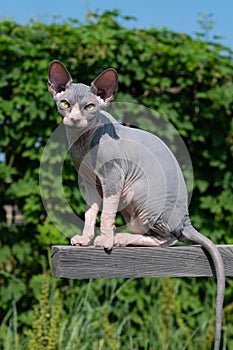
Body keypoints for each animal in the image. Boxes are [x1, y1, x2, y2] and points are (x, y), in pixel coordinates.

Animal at [48, 60, 225, 350]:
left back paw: (120, 239)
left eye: (89, 107)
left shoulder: (112, 177)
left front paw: (106, 240)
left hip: (140, 194)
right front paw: (84, 239)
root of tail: (186, 218)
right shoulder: (88, 182)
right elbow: (90, 213)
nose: (73, 119)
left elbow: (106, 214)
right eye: (65, 103)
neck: (82, 141)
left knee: (169, 240)